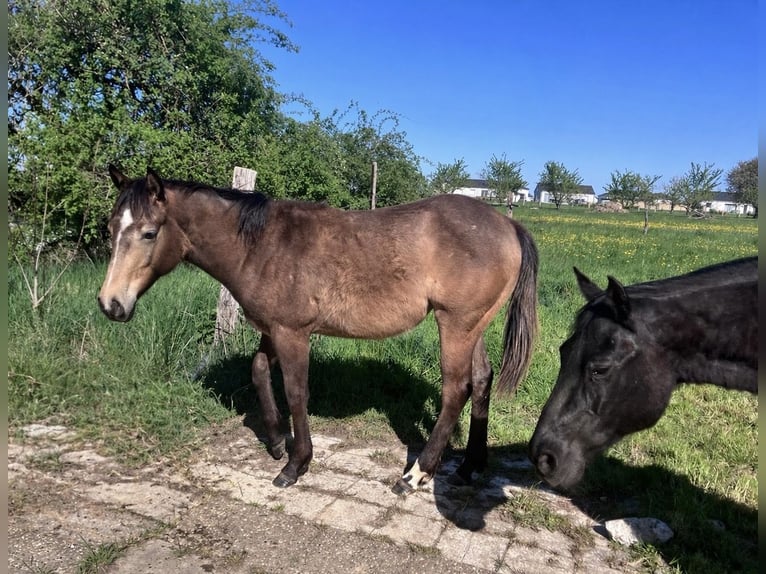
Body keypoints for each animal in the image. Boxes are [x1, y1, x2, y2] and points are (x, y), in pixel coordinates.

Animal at [98, 166, 539, 494]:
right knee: (480, 381)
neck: (261, 245)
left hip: (455, 325)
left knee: (455, 391)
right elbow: (259, 371)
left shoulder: (293, 333)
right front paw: (277, 440)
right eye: (110, 228)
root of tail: (507, 226)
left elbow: (296, 392)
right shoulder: (272, 329)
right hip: (473, 326)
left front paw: (295, 464)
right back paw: (468, 468)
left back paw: (416, 474)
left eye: (149, 232)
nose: (110, 304)